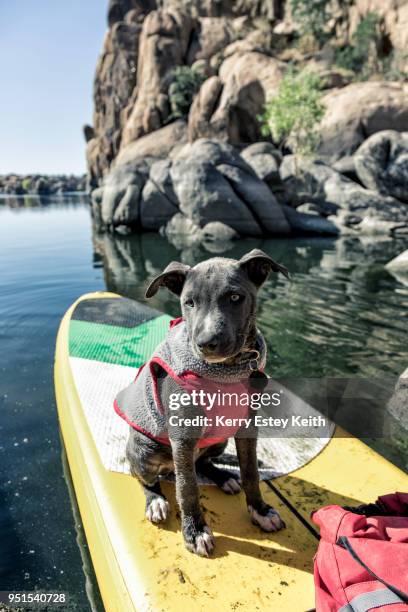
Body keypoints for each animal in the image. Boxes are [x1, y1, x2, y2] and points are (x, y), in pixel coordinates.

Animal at [122, 247, 288, 556]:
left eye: (235, 297)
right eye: (189, 302)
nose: (207, 343)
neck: (227, 371)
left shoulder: (247, 427)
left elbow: (251, 472)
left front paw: (260, 510)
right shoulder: (183, 436)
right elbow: (188, 489)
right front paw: (195, 531)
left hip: (218, 439)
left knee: (202, 464)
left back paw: (223, 476)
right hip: (144, 449)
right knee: (144, 477)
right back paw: (156, 501)